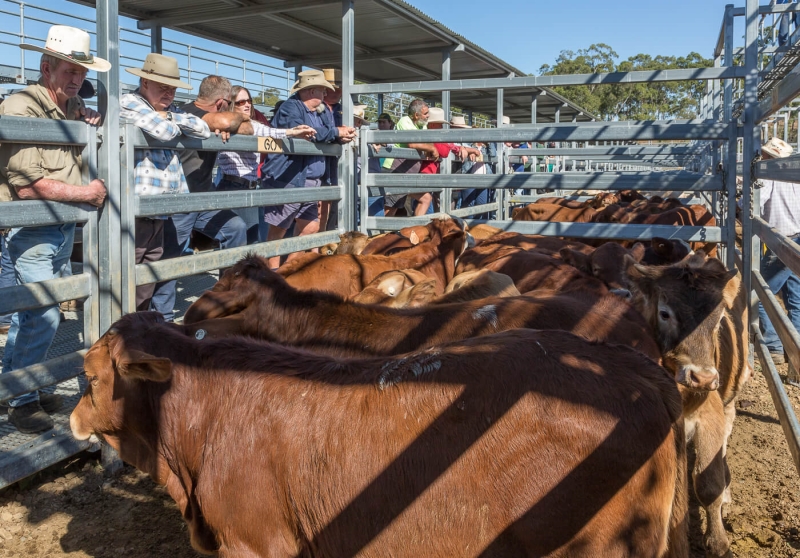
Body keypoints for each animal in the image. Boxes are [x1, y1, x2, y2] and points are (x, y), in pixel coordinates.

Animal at [628, 256, 752, 556]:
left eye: (718, 319)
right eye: (664, 313)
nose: (703, 378)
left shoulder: (710, 414)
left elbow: (709, 484)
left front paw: (718, 542)